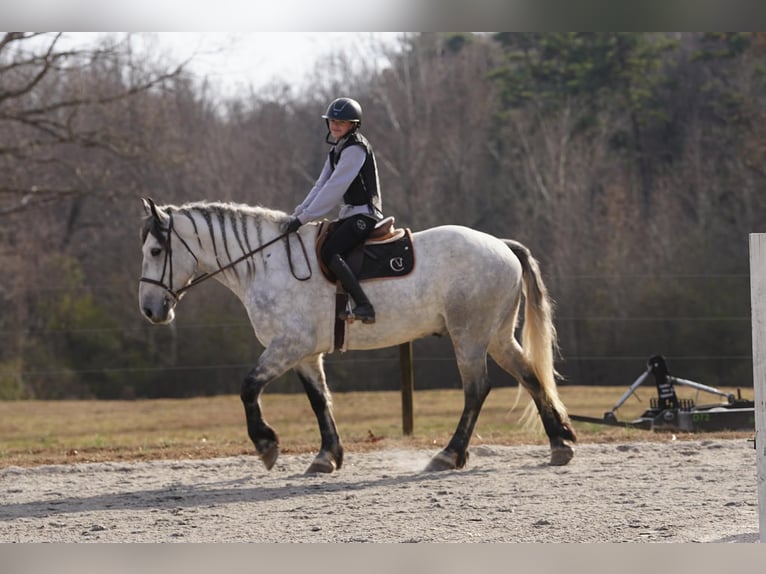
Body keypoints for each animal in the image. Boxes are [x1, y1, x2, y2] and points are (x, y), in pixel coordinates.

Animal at [138, 198, 576, 473]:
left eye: (156, 251)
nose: (150, 309)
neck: (266, 262)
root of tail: (500, 244)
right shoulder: (305, 354)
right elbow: (320, 401)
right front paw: (326, 457)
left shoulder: (287, 346)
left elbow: (248, 387)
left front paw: (266, 445)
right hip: (497, 336)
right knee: (531, 377)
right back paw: (560, 444)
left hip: (468, 337)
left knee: (477, 390)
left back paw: (449, 455)